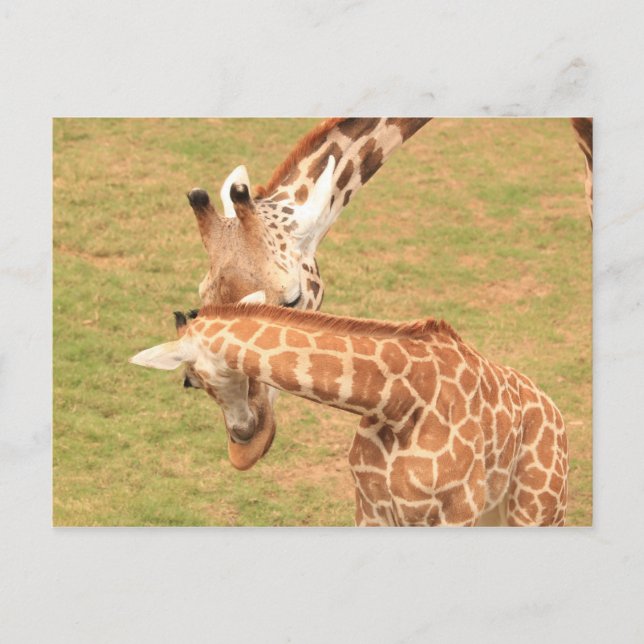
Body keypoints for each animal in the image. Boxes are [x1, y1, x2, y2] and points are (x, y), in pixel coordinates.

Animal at [130, 297, 568, 527]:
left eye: (189, 380)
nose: (242, 433)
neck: (399, 402)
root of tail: (557, 415)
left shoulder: (455, 511)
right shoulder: (372, 508)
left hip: (540, 507)